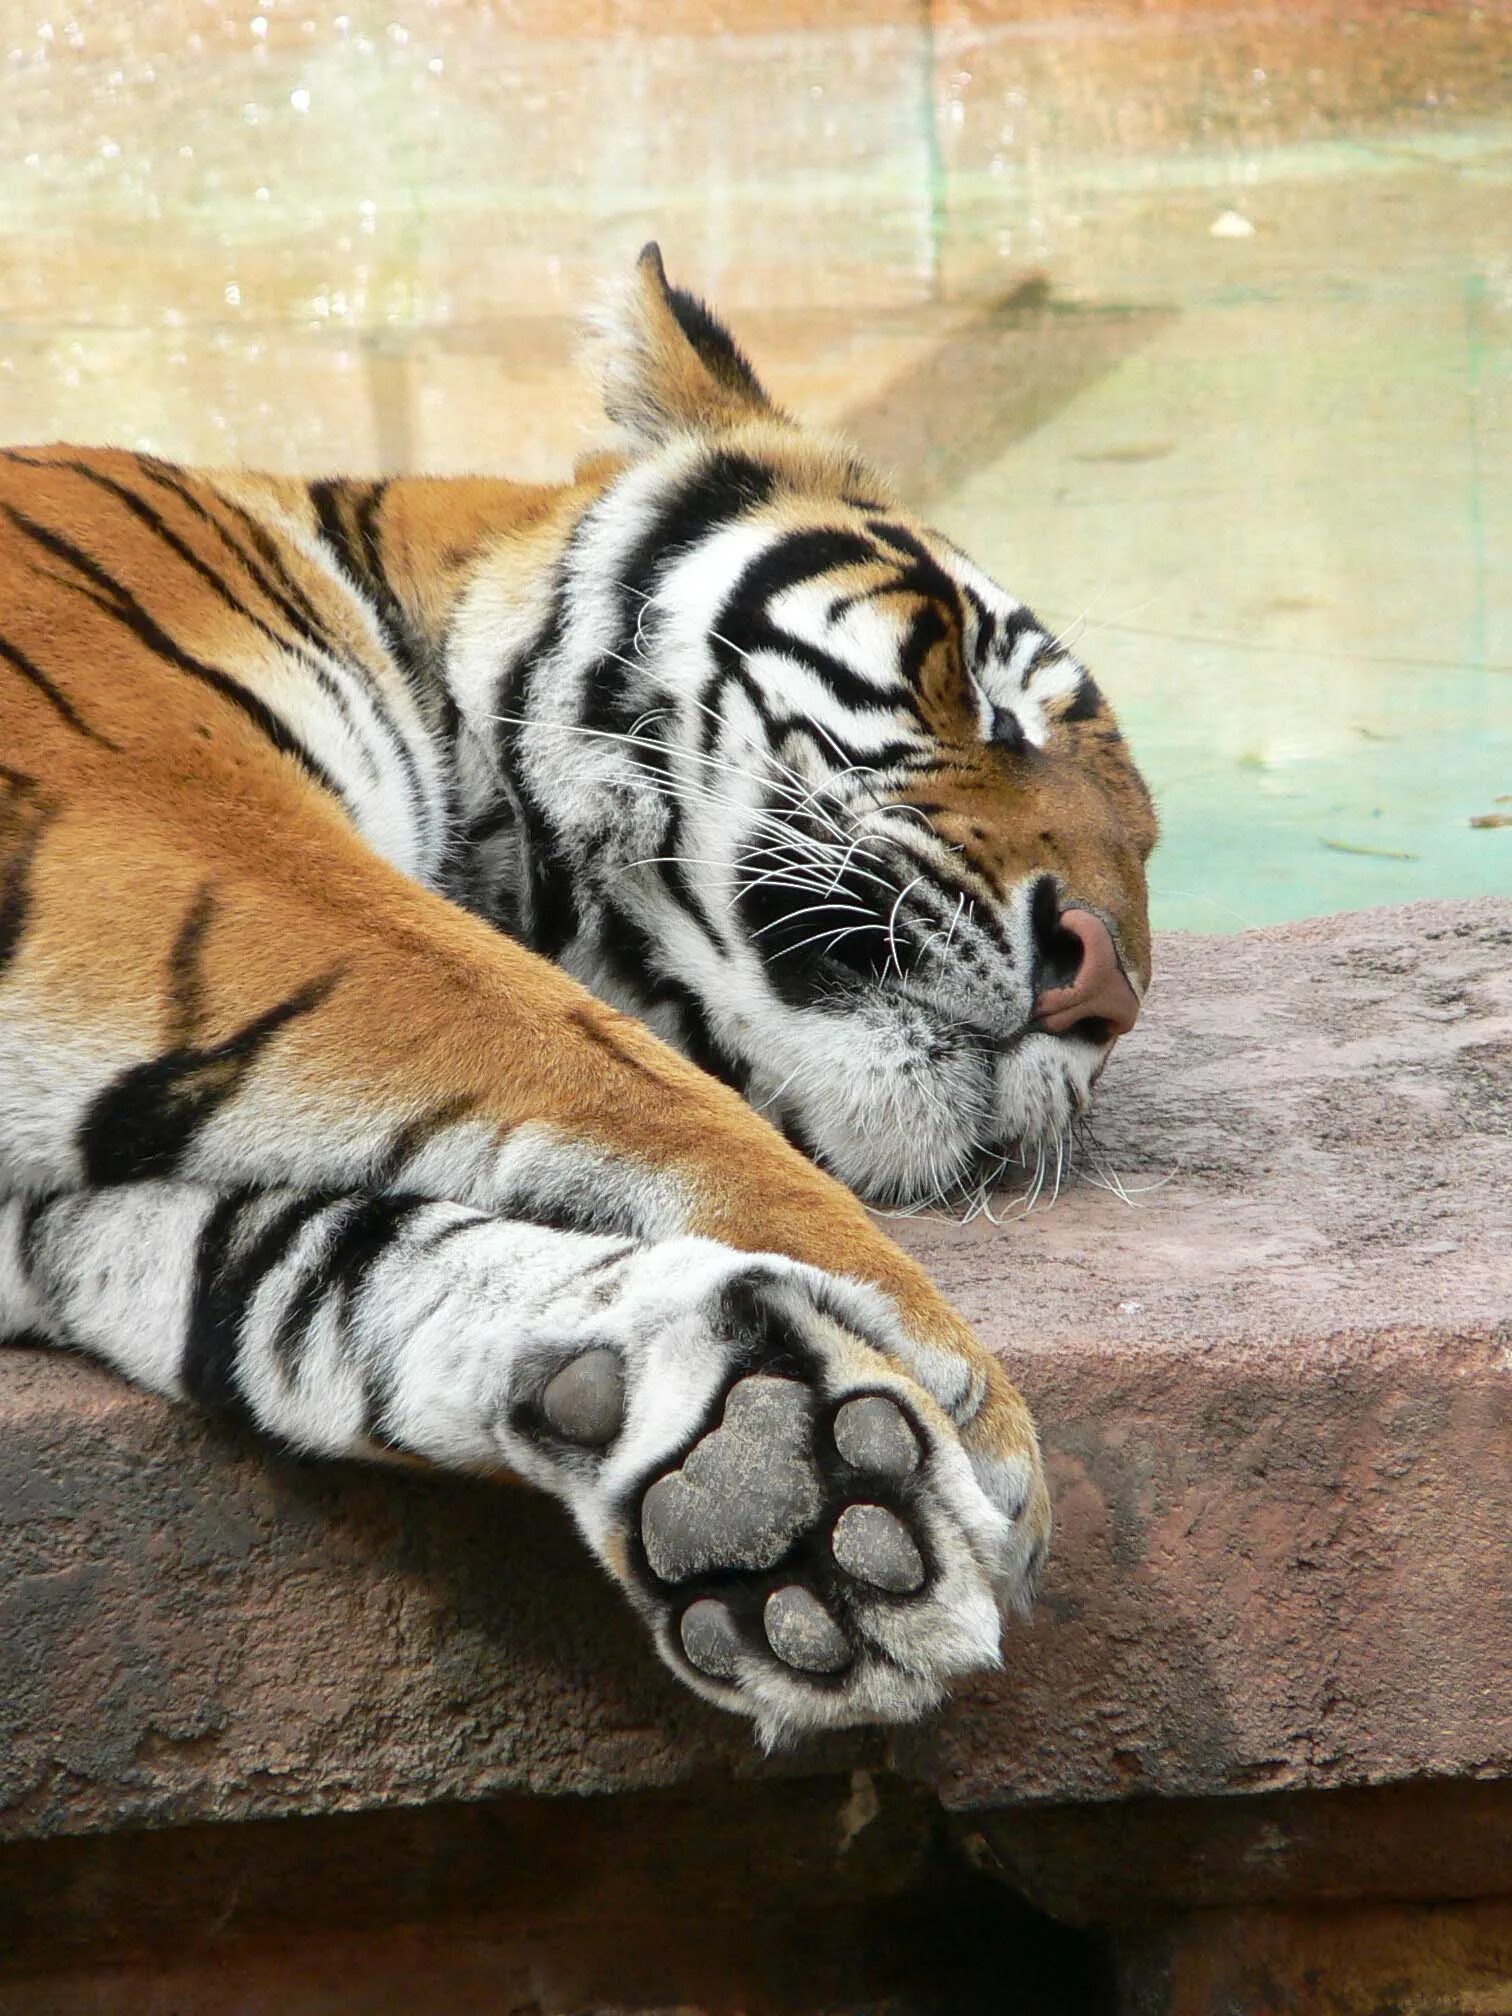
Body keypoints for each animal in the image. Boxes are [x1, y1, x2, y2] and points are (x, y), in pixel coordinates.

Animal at [0, 246, 1155, 1746]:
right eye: (990, 698)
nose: (1108, 988)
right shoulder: (165, 811)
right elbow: (595, 1063)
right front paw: (971, 1404)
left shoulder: (82, 1210)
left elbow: (316, 1275)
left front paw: (774, 1471)